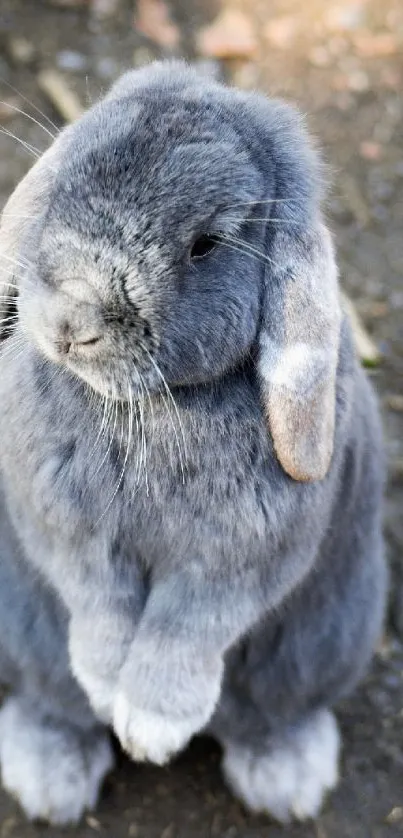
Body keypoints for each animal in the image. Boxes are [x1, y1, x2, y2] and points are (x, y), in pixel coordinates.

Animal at [0, 60, 388, 828]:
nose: (70, 321)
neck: (149, 405)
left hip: (325, 641)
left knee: (272, 715)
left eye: (205, 244)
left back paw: (286, 781)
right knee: (51, 700)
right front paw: (106, 689)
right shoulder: (70, 536)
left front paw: (150, 730)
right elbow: (98, 606)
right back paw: (50, 778)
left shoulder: (233, 563)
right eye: (64, 183)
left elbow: (185, 630)